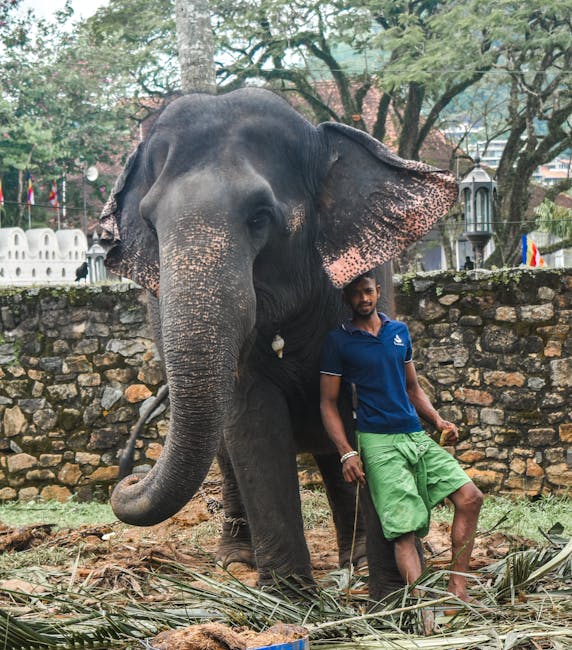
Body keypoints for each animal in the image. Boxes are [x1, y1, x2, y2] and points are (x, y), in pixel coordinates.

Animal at [100, 87, 457, 599]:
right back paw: (236, 560)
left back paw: (356, 559)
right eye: (149, 224)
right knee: (227, 453)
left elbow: (361, 408)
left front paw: (391, 591)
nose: (129, 477)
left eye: (260, 216)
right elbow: (252, 420)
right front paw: (288, 599)